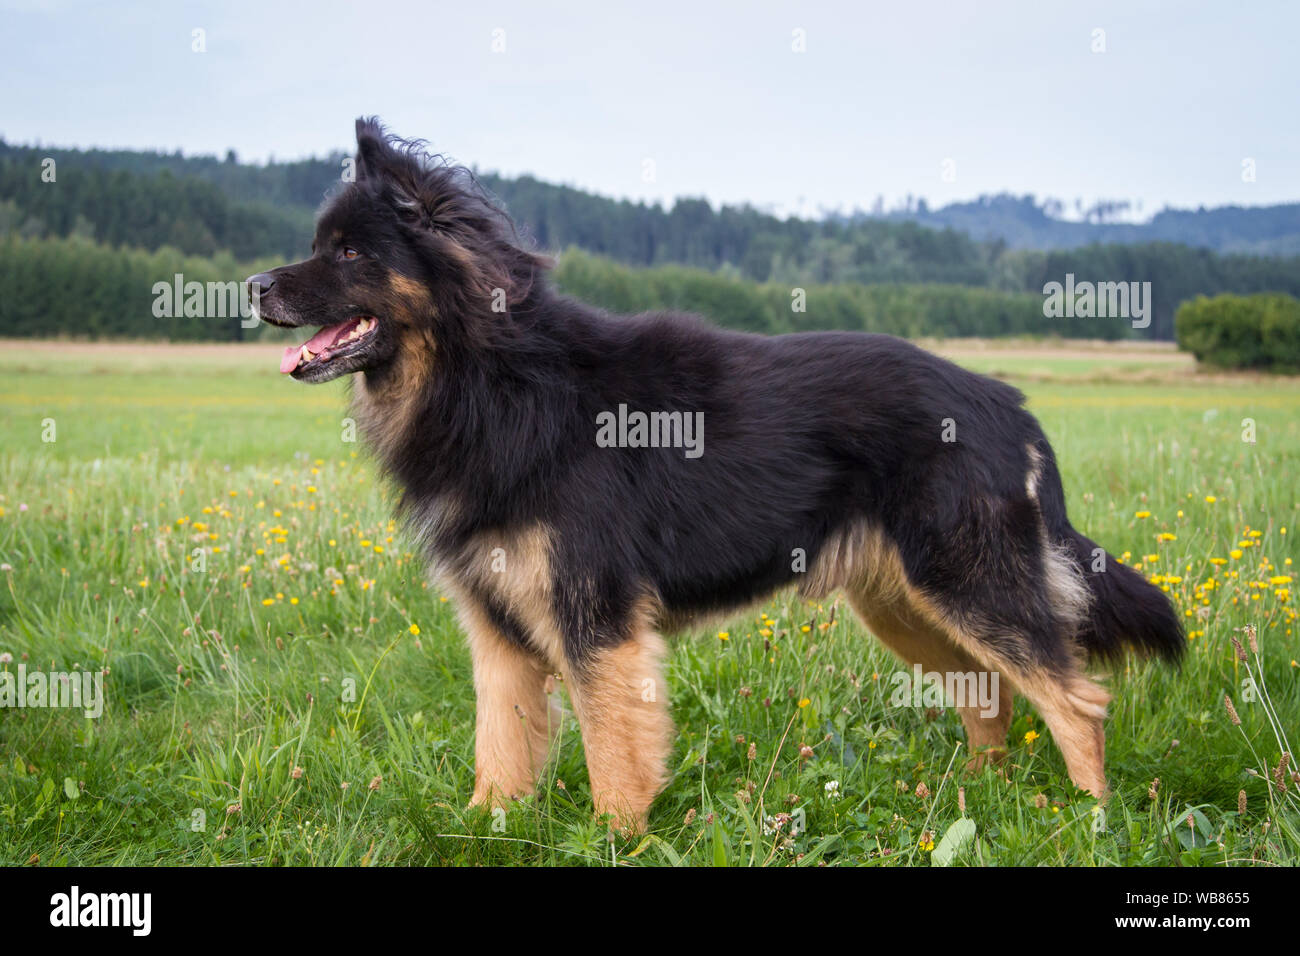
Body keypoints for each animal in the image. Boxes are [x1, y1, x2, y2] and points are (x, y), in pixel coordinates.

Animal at [245, 119, 1190, 832]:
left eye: (350, 253)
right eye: (320, 245)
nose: (251, 286)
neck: (492, 375)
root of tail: (1008, 403)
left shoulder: (597, 622)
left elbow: (614, 749)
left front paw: (615, 837)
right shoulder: (501, 632)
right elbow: (500, 752)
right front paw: (485, 829)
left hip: (967, 584)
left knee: (1075, 701)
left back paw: (1090, 821)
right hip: (907, 602)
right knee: (991, 692)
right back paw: (982, 800)